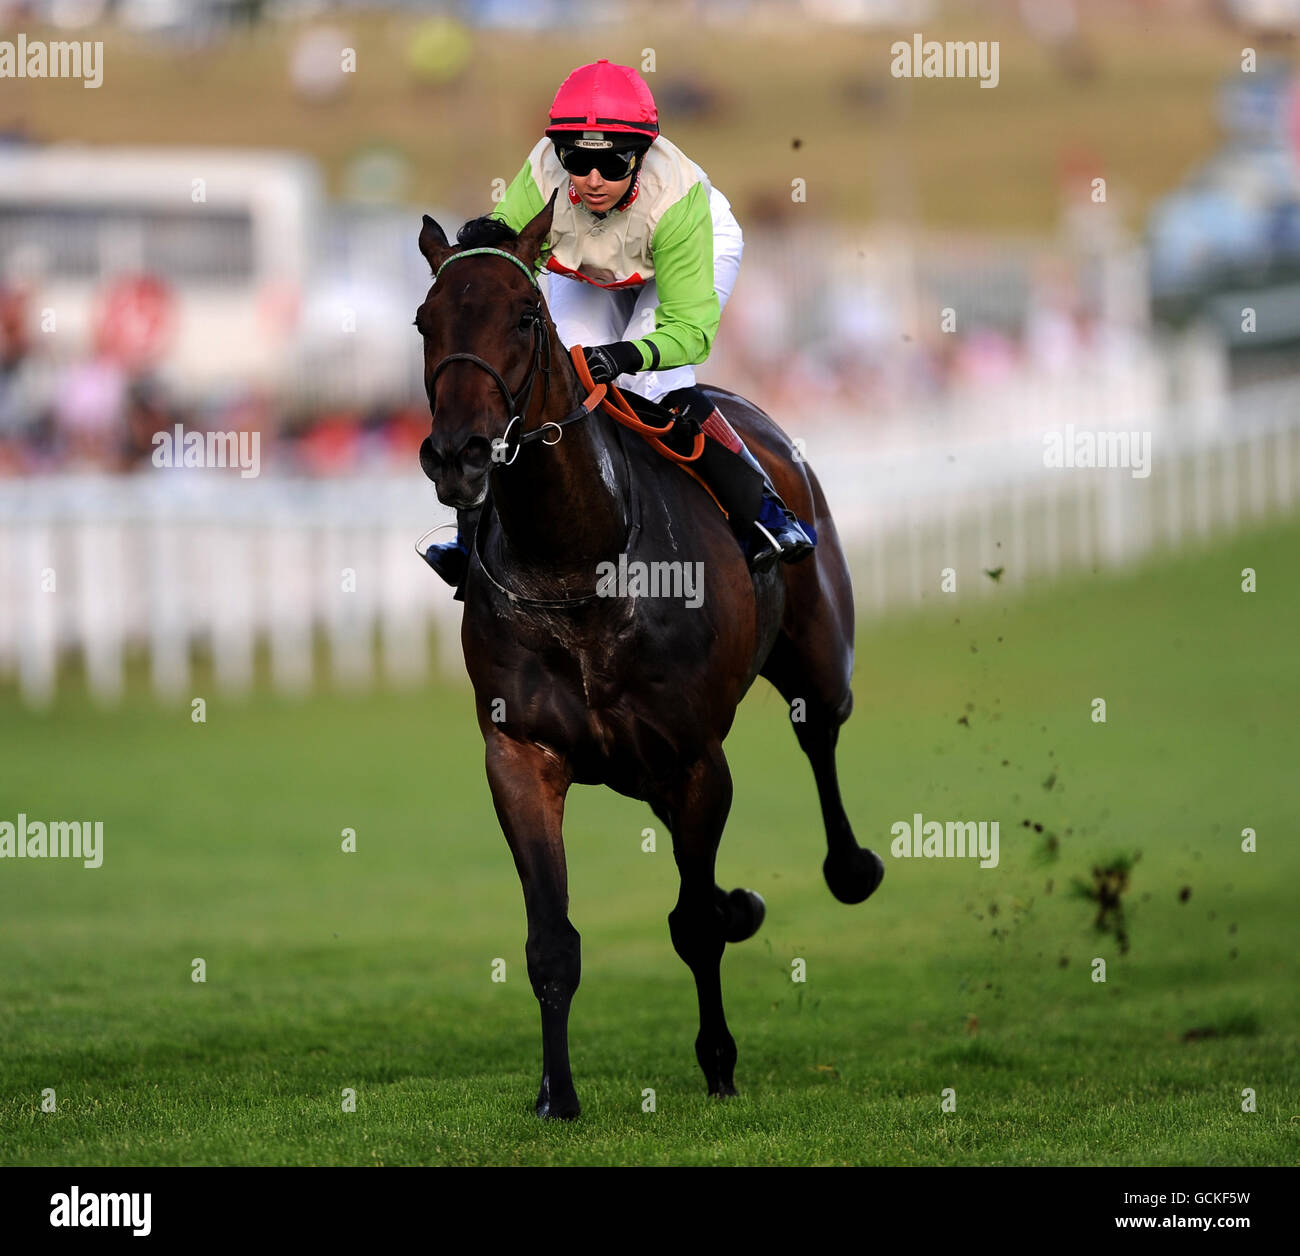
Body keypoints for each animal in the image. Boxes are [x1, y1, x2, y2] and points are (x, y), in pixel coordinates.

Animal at [416, 196, 883, 1123]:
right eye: (424, 321)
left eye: (525, 317)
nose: (458, 454)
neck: (578, 562)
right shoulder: (521, 753)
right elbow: (551, 941)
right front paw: (555, 1094)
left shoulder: (698, 758)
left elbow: (694, 925)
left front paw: (719, 1062)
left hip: (818, 656)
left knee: (819, 733)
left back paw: (846, 867)